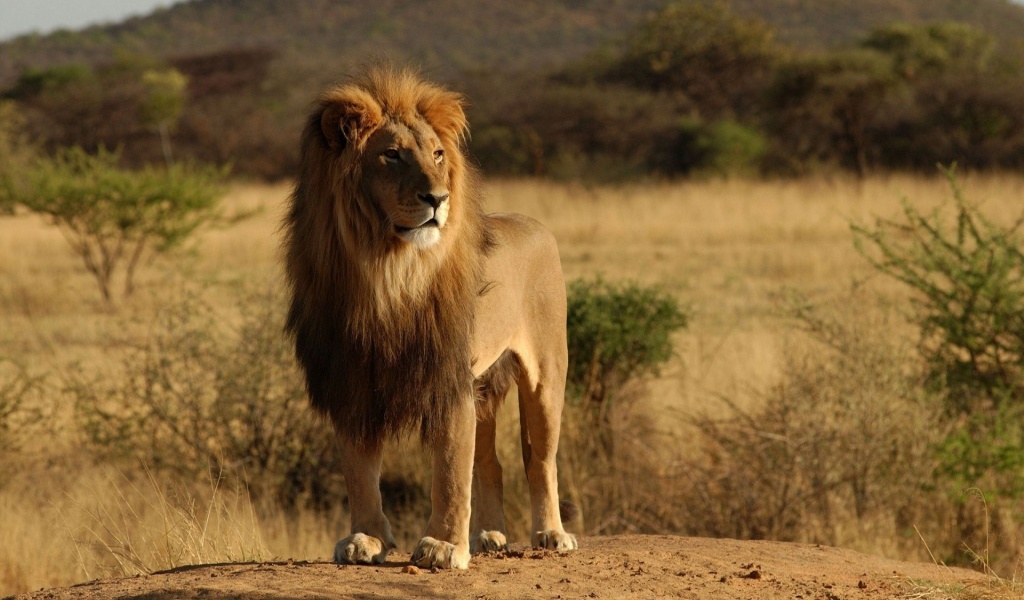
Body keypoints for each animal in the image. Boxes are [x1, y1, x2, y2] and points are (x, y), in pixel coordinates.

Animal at [284, 67, 581, 569]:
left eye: (438, 154)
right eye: (391, 155)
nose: (438, 198)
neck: (386, 272)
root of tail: (535, 224)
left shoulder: (447, 378)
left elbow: (449, 470)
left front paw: (442, 546)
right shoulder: (352, 379)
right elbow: (359, 471)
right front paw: (366, 539)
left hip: (545, 375)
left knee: (539, 459)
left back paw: (551, 534)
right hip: (484, 387)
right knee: (491, 463)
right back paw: (488, 536)